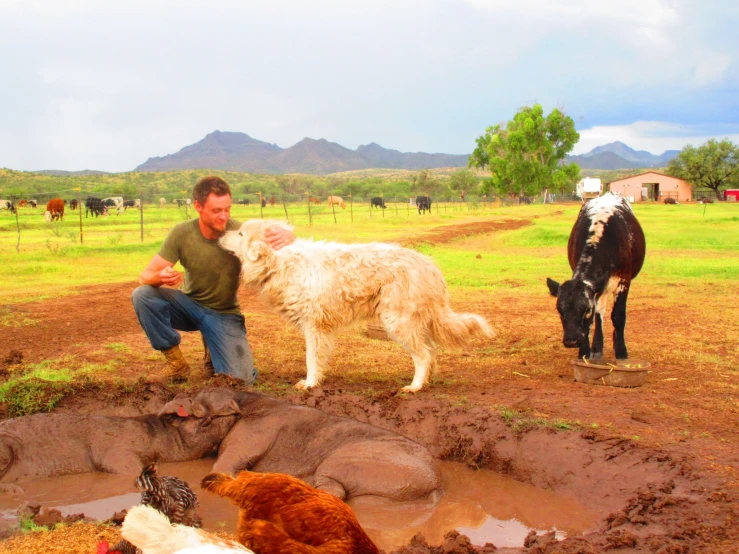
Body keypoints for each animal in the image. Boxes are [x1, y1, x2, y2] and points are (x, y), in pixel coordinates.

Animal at [186, 388, 440, 500]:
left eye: (204, 414)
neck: (243, 399)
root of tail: (435, 483)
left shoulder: (250, 433)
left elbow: (227, 464)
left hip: (358, 461)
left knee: (334, 488)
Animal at [221, 218, 498, 390]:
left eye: (241, 233)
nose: (221, 232)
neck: (281, 261)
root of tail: (430, 266)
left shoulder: (314, 326)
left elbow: (311, 359)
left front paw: (310, 384)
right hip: (414, 323)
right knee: (431, 352)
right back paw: (426, 381)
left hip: (397, 322)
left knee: (423, 355)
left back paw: (415, 387)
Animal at [548, 192, 644, 360]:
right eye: (559, 310)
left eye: (587, 310)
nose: (571, 341)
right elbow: (596, 317)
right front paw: (585, 352)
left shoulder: (623, 281)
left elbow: (618, 315)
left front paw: (621, 351)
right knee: (600, 313)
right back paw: (597, 347)